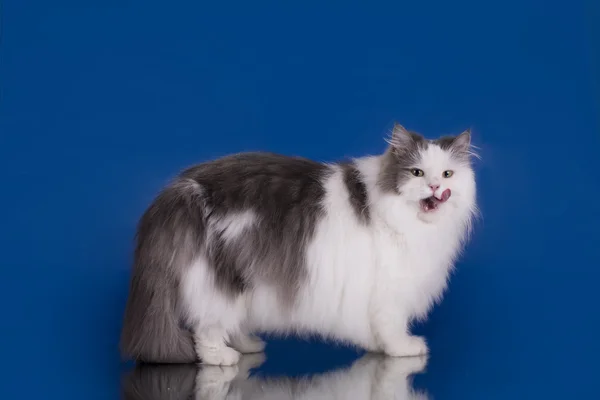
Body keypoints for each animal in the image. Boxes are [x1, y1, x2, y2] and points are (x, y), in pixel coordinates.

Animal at [120, 122, 478, 366]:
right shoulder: (390, 293)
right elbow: (392, 328)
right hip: (222, 281)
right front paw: (404, 349)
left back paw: (247, 345)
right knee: (206, 329)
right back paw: (223, 357)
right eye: (417, 173)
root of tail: (185, 188)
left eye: (447, 174)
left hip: (245, 285)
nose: (435, 187)